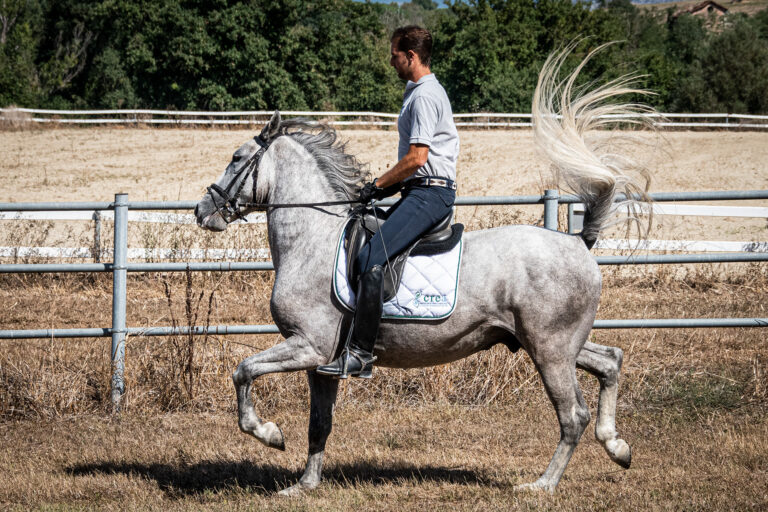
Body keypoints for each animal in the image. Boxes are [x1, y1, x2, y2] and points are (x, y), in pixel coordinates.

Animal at [195, 46, 652, 494]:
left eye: (236, 158)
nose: (202, 210)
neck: (313, 239)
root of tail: (578, 242)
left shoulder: (307, 346)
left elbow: (242, 372)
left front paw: (270, 434)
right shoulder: (320, 361)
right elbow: (318, 423)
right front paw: (304, 485)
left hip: (550, 348)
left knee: (572, 414)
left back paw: (541, 485)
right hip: (552, 342)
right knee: (610, 361)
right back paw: (617, 446)